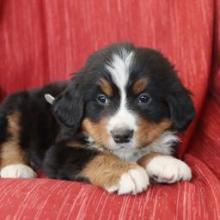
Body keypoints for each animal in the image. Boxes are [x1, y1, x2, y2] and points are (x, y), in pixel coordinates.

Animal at [0, 42, 196, 194]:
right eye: (102, 98)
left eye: (144, 98)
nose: (121, 135)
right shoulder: (57, 152)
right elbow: (93, 155)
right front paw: (125, 172)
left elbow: (147, 150)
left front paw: (166, 162)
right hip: (15, 106)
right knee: (8, 140)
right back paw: (15, 168)